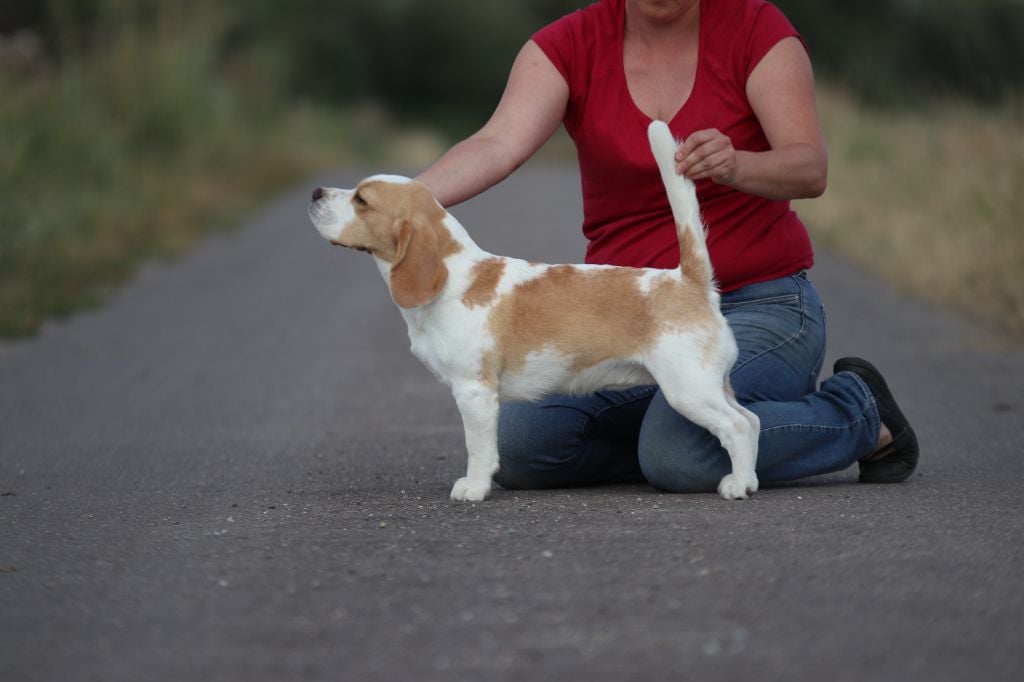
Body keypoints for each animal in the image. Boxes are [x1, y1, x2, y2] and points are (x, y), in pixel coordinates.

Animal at [309, 120, 761, 499]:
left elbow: (478, 448)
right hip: (713, 385)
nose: (314, 193)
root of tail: (688, 280)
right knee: (752, 421)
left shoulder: (474, 391)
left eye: (361, 200)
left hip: (688, 389)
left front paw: (473, 489)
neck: (453, 278)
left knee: (737, 427)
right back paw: (751, 479)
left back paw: (737, 486)